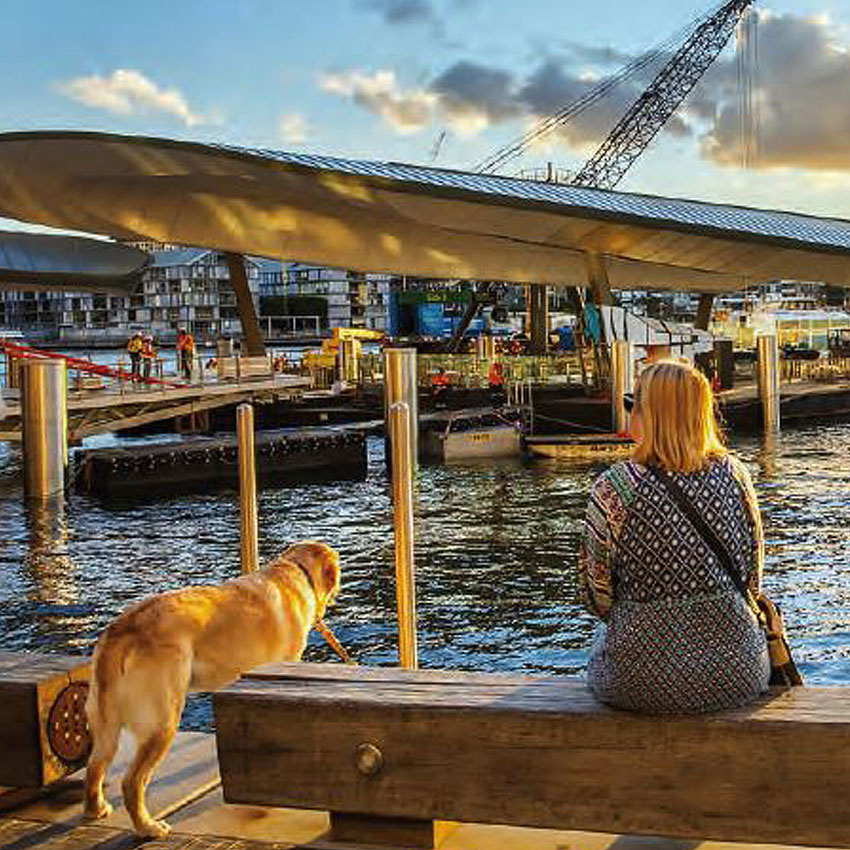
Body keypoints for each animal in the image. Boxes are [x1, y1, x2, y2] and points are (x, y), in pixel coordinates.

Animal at [82, 540, 338, 832]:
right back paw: (148, 827)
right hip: (162, 721)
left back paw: (96, 810)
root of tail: (123, 629)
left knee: (94, 767)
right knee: (132, 781)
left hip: (105, 724)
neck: (297, 570)